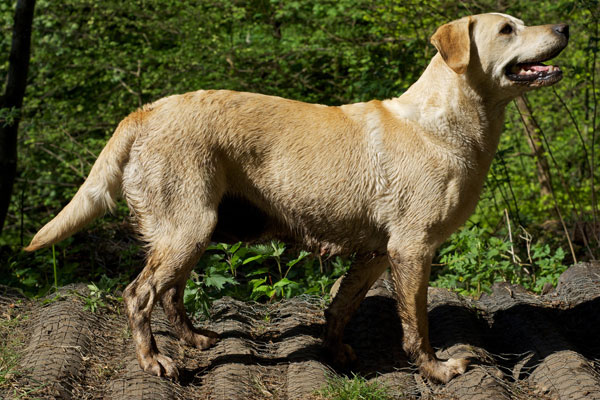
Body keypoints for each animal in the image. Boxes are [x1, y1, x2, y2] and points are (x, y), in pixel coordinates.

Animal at [27, 12, 568, 382]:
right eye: (507, 29)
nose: (564, 24)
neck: (447, 122)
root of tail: (146, 110)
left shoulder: (377, 253)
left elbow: (341, 305)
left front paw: (337, 353)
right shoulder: (412, 250)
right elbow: (416, 326)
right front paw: (435, 370)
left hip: (190, 231)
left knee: (171, 293)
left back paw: (195, 339)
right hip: (188, 227)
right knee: (139, 294)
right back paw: (154, 360)